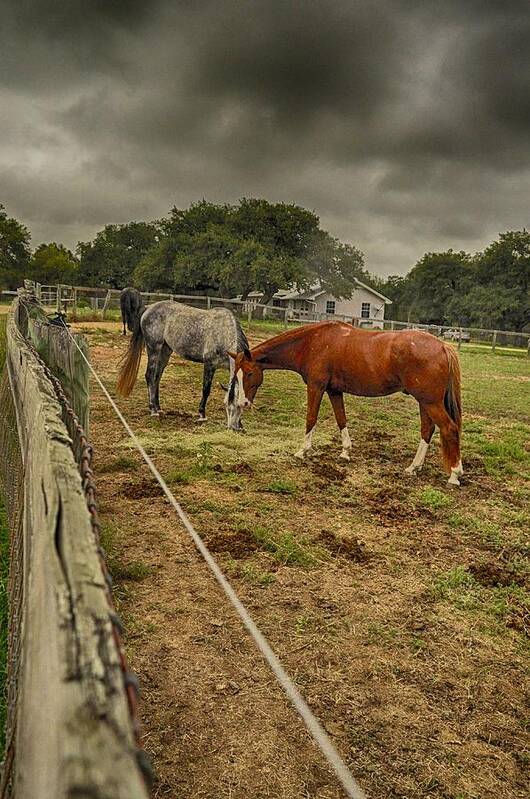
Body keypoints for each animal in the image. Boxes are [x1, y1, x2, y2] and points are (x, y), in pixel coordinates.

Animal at [116, 298, 248, 428]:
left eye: (243, 405)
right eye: (226, 405)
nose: (234, 427)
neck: (224, 334)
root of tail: (148, 308)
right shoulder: (209, 365)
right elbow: (206, 390)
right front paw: (202, 415)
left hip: (165, 351)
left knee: (156, 377)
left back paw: (158, 408)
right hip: (154, 348)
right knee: (150, 376)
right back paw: (153, 410)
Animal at [229, 320, 460, 484]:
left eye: (249, 373)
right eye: (237, 375)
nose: (243, 403)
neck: (313, 343)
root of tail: (443, 346)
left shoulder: (316, 387)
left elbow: (311, 418)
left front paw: (303, 451)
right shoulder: (334, 391)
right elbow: (341, 419)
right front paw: (345, 452)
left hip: (429, 402)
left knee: (449, 428)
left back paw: (454, 475)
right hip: (424, 402)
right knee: (427, 430)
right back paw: (414, 467)